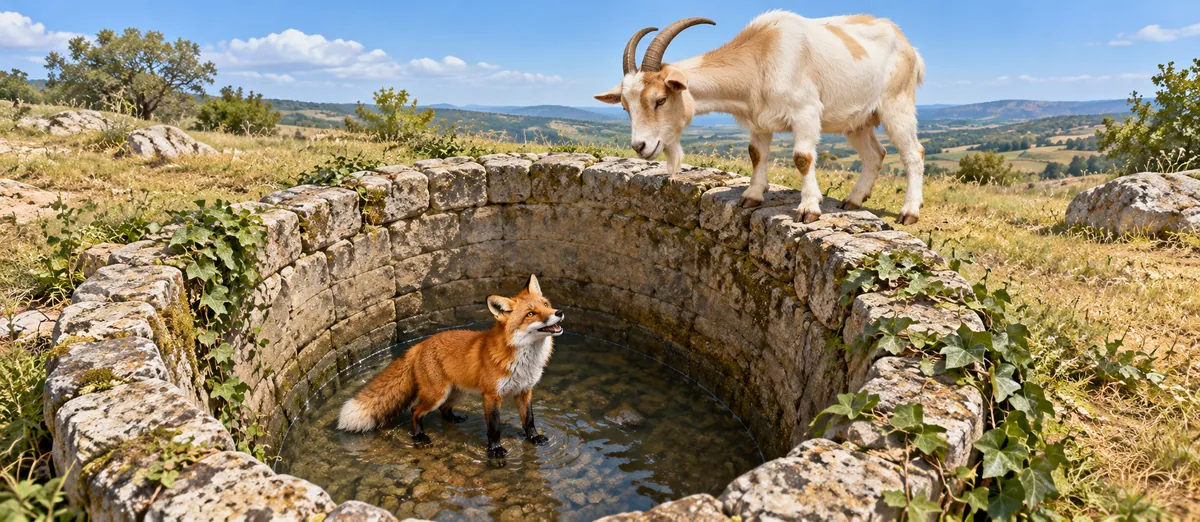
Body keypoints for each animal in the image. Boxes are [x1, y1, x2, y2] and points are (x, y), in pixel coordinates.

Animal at [337, 274, 564, 458]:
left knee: (443, 409)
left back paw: (453, 419)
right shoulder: (492, 396)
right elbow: (494, 428)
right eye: (530, 314)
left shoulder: (524, 391)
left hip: (457, 393)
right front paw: (495, 451)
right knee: (415, 410)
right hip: (436, 394)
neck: (524, 361)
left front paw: (534, 438)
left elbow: (529, 420)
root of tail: (419, 345)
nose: (559, 312)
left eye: (546, 304)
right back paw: (420, 437)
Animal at [595, 11, 927, 224]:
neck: (762, 54)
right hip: (857, 120)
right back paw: (854, 200)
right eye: (625, 107)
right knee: (875, 154)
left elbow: (802, 157)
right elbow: (756, 154)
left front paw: (809, 208)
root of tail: (910, 47)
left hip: (896, 105)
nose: (640, 146)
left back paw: (909, 213)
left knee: (914, 153)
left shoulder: (806, 112)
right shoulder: (758, 121)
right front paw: (752, 197)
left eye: (660, 100)